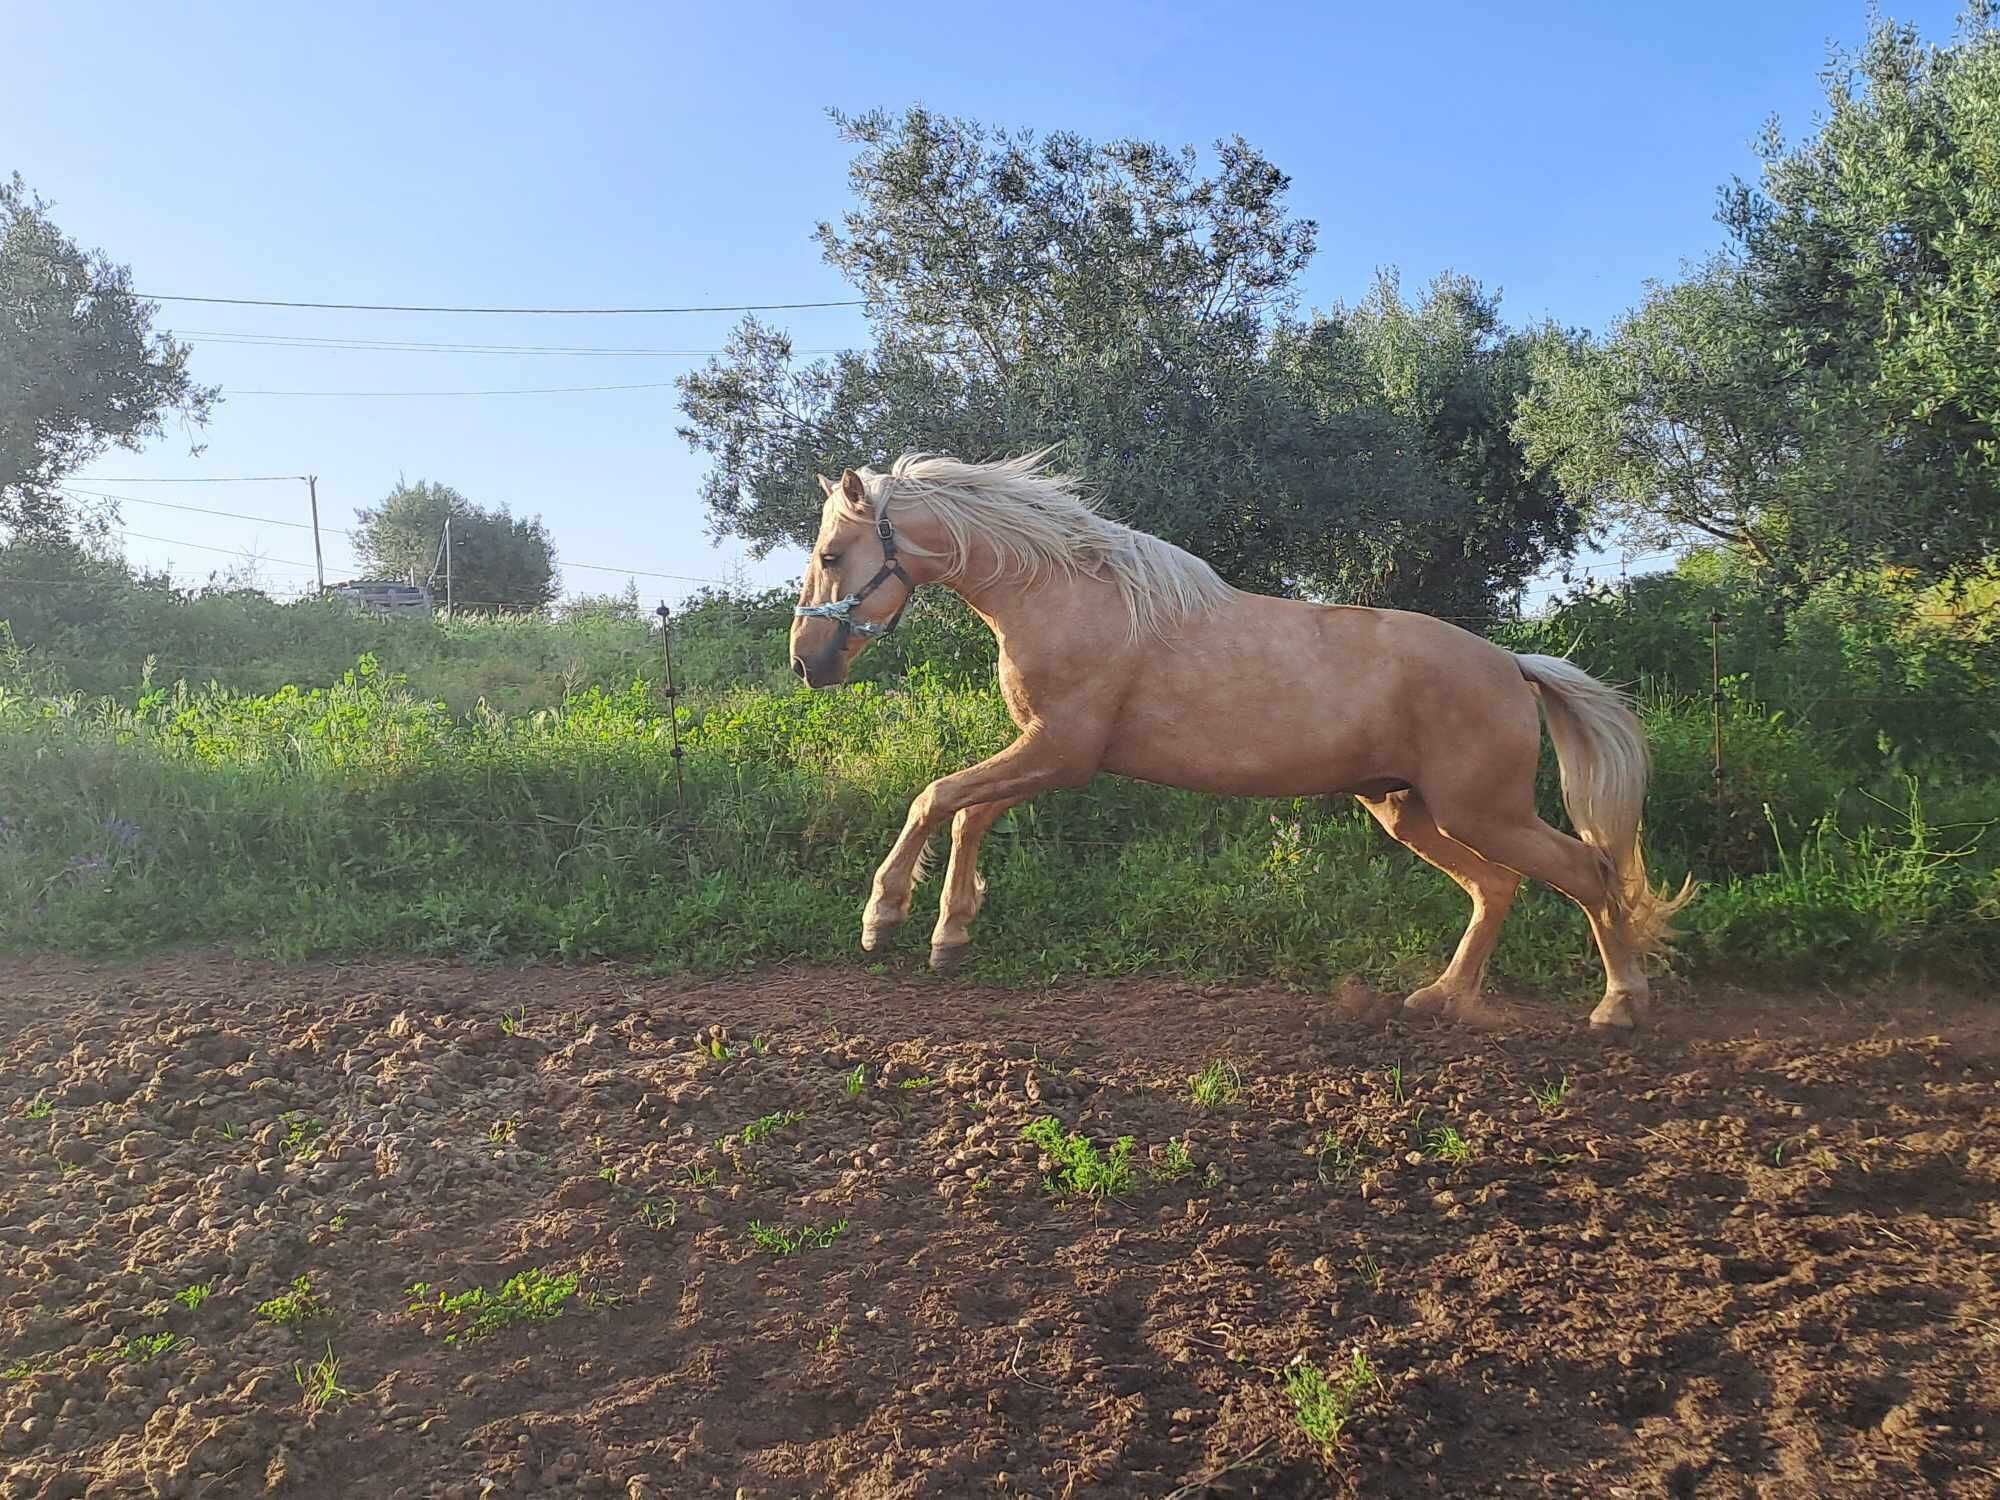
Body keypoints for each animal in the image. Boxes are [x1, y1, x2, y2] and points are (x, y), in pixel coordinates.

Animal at [788, 452, 1696, 1032]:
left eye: (833, 552)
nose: (806, 662)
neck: (1066, 595)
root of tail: (1512, 663)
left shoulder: (1061, 752)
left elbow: (935, 797)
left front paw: (883, 918)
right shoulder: (1045, 756)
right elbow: (969, 814)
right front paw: (950, 936)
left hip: (1482, 810)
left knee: (1586, 870)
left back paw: (1619, 1007)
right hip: (1409, 810)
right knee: (1498, 888)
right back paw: (1440, 999)